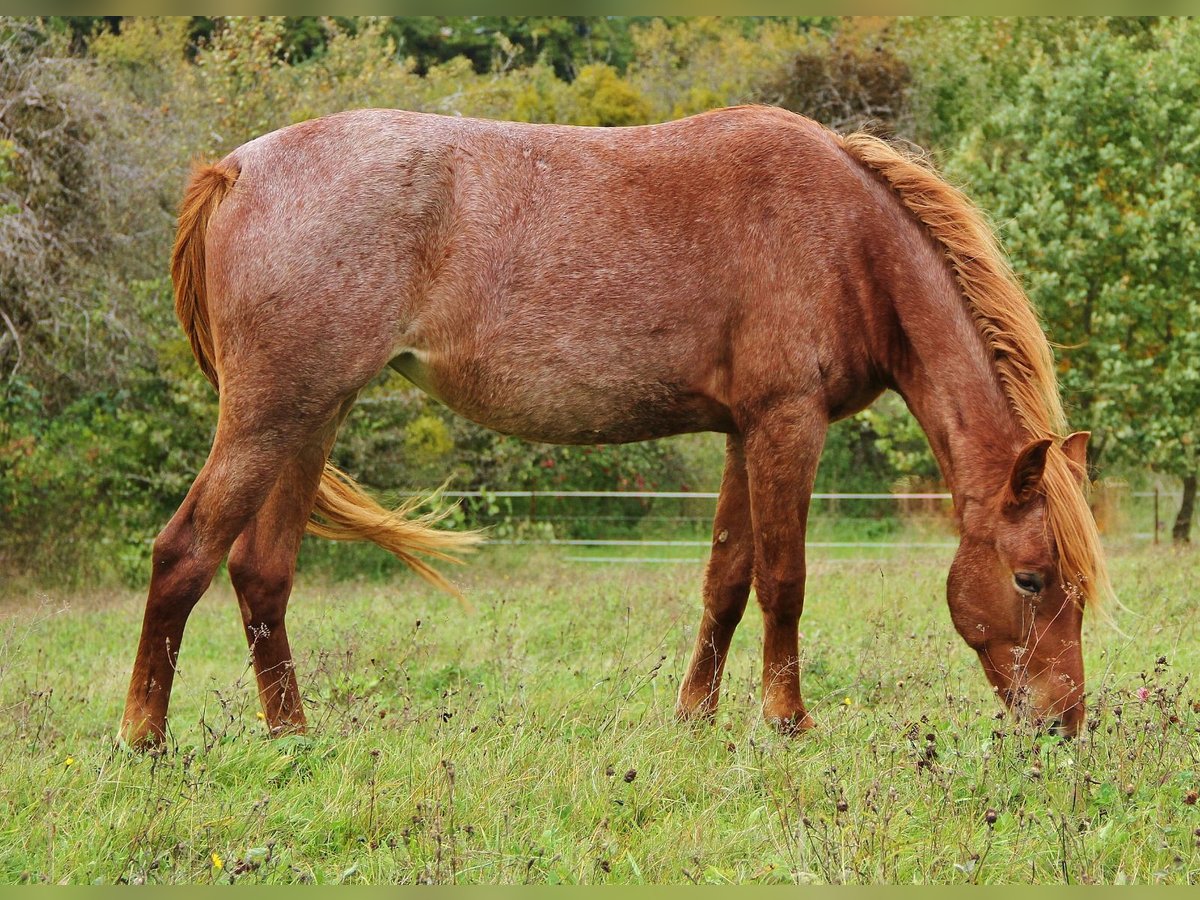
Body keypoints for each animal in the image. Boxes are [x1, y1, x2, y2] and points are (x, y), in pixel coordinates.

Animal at [119, 105, 1111, 748]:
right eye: (1030, 579)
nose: (1063, 725)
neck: (847, 238)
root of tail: (237, 169)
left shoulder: (745, 433)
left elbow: (726, 582)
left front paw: (695, 718)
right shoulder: (787, 425)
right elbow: (784, 582)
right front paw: (787, 723)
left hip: (310, 417)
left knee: (261, 573)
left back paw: (292, 732)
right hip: (270, 418)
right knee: (184, 555)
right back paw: (144, 738)